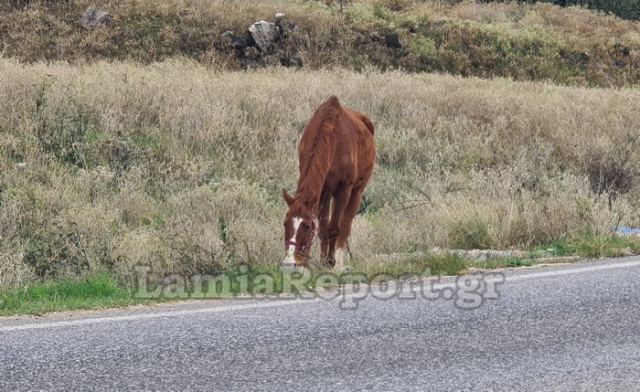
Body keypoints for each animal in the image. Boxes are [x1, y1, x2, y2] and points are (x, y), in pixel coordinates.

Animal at [282, 95, 376, 270]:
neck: (333, 139)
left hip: (357, 191)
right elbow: (323, 228)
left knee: (345, 226)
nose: (290, 262)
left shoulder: (343, 190)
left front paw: (331, 263)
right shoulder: (323, 191)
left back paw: (339, 262)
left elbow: (334, 228)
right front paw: (323, 261)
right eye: (285, 223)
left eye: (306, 226)